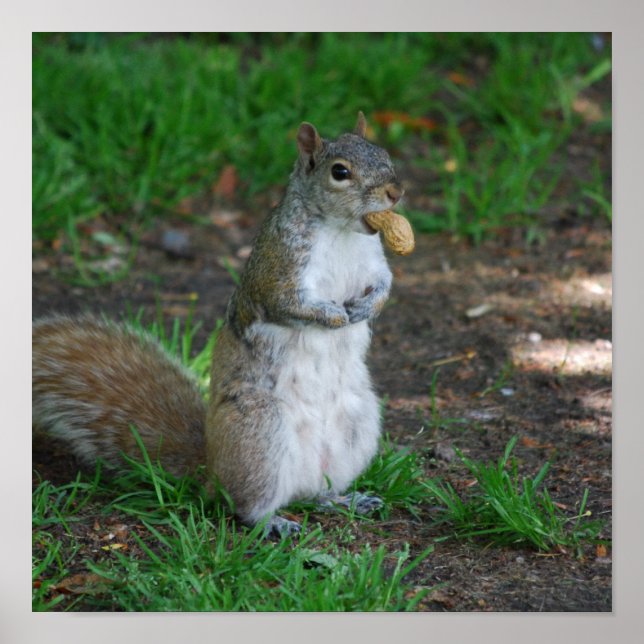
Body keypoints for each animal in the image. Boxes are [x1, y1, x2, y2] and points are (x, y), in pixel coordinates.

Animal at [32, 112, 404, 536]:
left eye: (384, 154)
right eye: (339, 172)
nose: (395, 193)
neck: (342, 232)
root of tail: (212, 471)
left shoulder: (373, 262)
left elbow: (384, 285)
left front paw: (366, 308)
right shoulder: (277, 269)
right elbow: (287, 304)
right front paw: (334, 315)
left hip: (357, 425)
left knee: (316, 493)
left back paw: (345, 499)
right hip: (259, 434)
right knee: (247, 506)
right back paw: (273, 522)